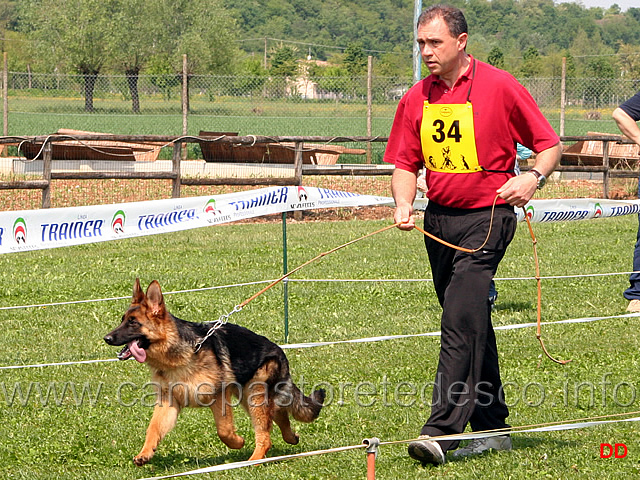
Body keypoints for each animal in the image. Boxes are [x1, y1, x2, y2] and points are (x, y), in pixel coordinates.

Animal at [105, 280, 328, 466]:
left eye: (133, 322)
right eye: (122, 320)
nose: (106, 338)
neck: (178, 357)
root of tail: (279, 349)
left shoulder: (219, 396)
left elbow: (224, 430)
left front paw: (238, 442)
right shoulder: (168, 403)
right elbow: (153, 428)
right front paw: (145, 453)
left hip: (254, 397)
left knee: (265, 434)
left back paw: (253, 460)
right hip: (248, 397)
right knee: (278, 414)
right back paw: (290, 437)